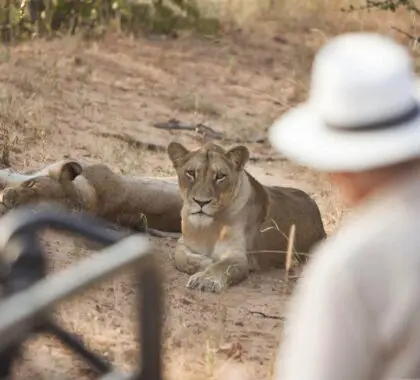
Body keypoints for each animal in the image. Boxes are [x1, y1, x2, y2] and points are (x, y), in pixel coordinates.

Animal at [166, 141, 326, 292]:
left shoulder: (239, 257)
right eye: (190, 173)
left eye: (220, 176)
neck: (207, 228)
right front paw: (206, 262)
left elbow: (221, 267)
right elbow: (179, 257)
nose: (201, 202)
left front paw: (205, 279)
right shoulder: (184, 242)